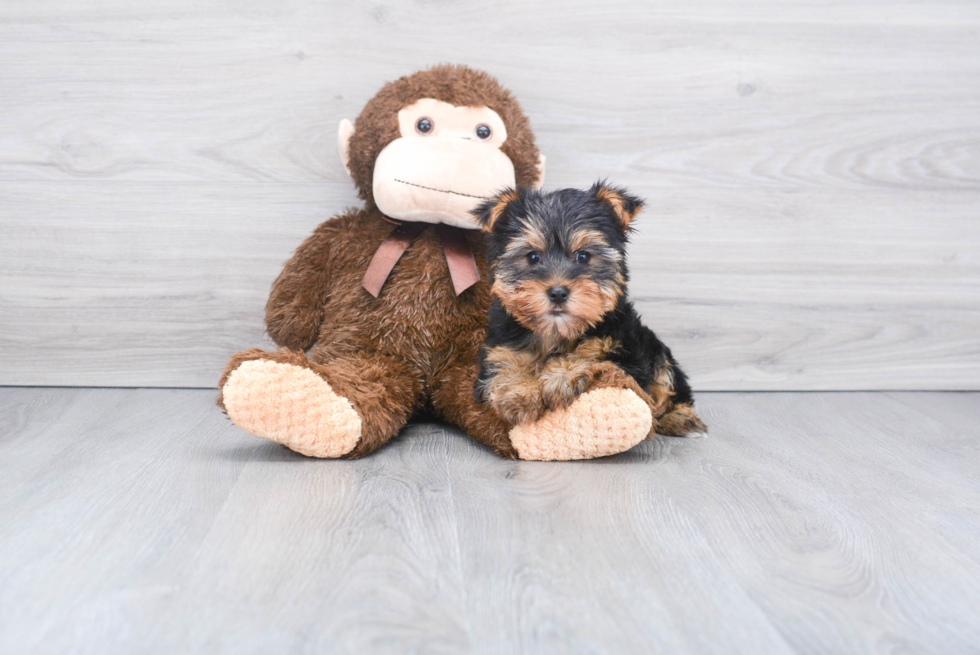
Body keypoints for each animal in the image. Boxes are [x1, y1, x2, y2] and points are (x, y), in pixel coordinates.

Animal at [472, 182, 708, 438]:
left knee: (668, 381)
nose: (557, 292)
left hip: (655, 349)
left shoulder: (625, 351)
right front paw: (518, 395)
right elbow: (504, 364)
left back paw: (680, 418)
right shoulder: (500, 345)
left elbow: (594, 356)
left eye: (583, 256)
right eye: (532, 257)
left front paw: (561, 376)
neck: (557, 332)